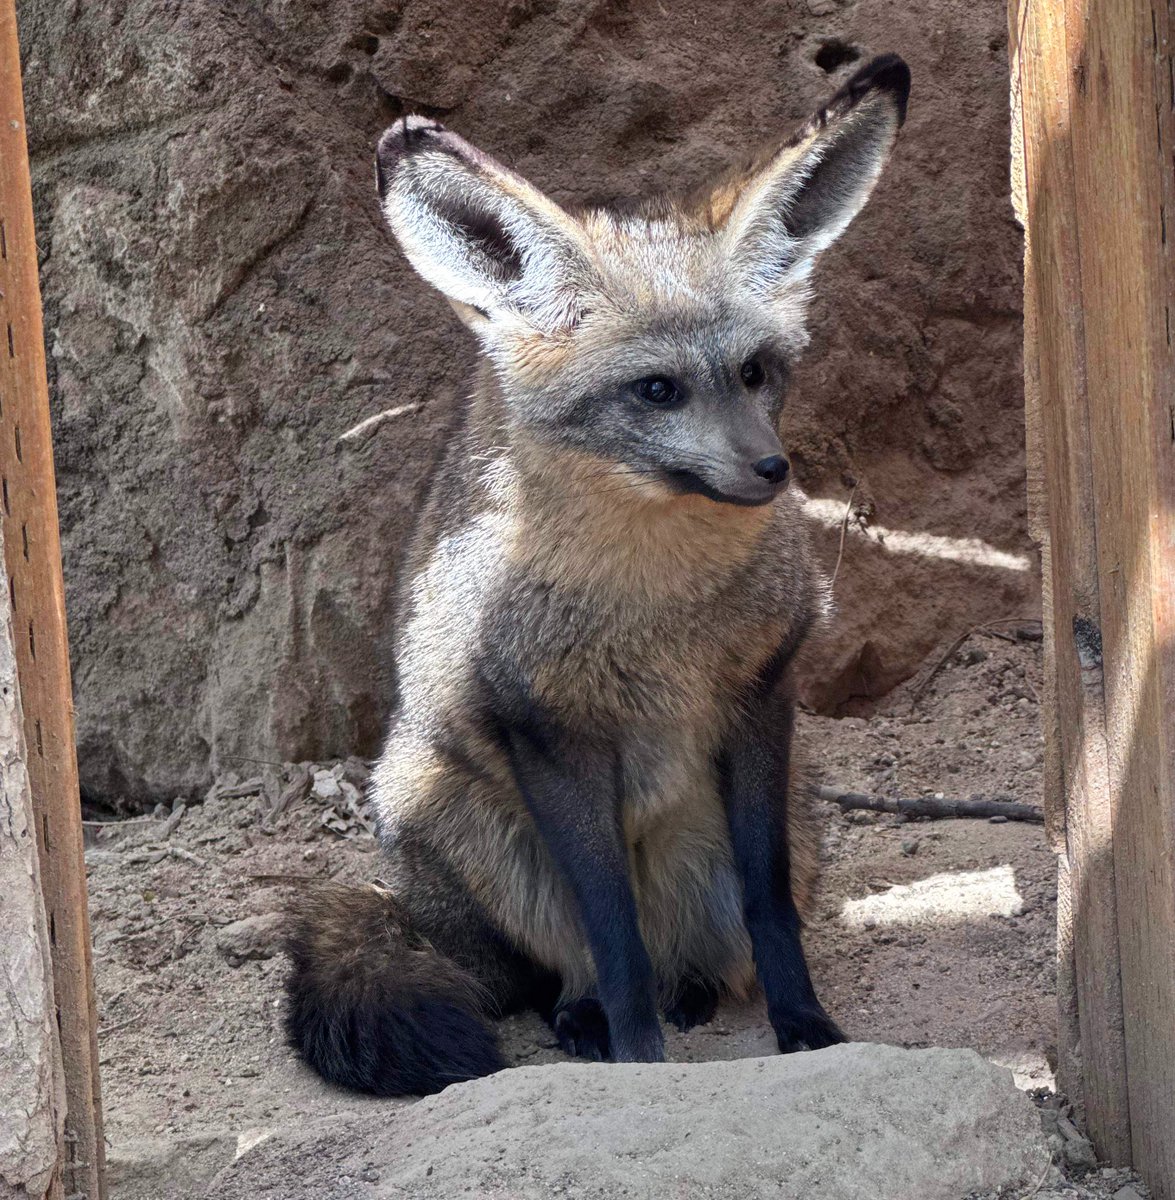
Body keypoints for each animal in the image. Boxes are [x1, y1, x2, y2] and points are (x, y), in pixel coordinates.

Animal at [285, 54, 911, 1096]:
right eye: (656, 390)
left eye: (755, 373)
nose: (771, 470)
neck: (657, 613)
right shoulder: (551, 736)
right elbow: (610, 939)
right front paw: (637, 1063)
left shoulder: (760, 697)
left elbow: (771, 910)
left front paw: (806, 1027)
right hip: (451, 811)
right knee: (570, 965)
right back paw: (586, 1019)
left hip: (756, 824)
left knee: (699, 950)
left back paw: (690, 993)